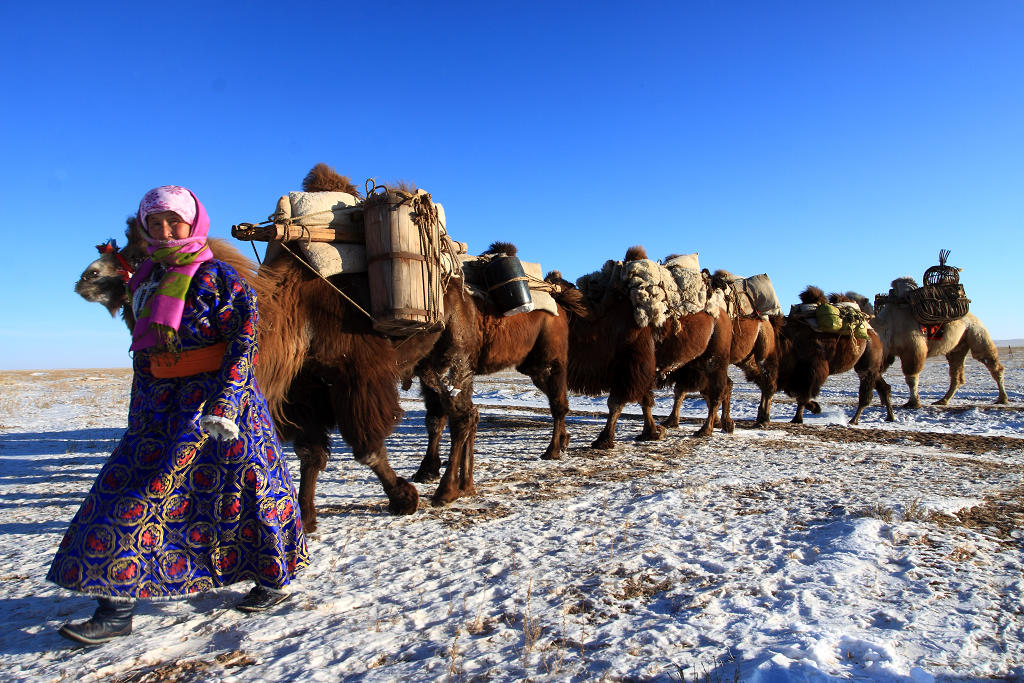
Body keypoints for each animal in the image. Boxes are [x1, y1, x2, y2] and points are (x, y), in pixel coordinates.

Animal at [872, 276, 1007, 409]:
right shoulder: (887, 353)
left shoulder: (913, 349)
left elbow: (911, 378)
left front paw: (913, 403)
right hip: (959, 346)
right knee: (957, 373)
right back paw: (943, 400)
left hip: (977, 331)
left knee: (989, 361)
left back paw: (1003, 399)